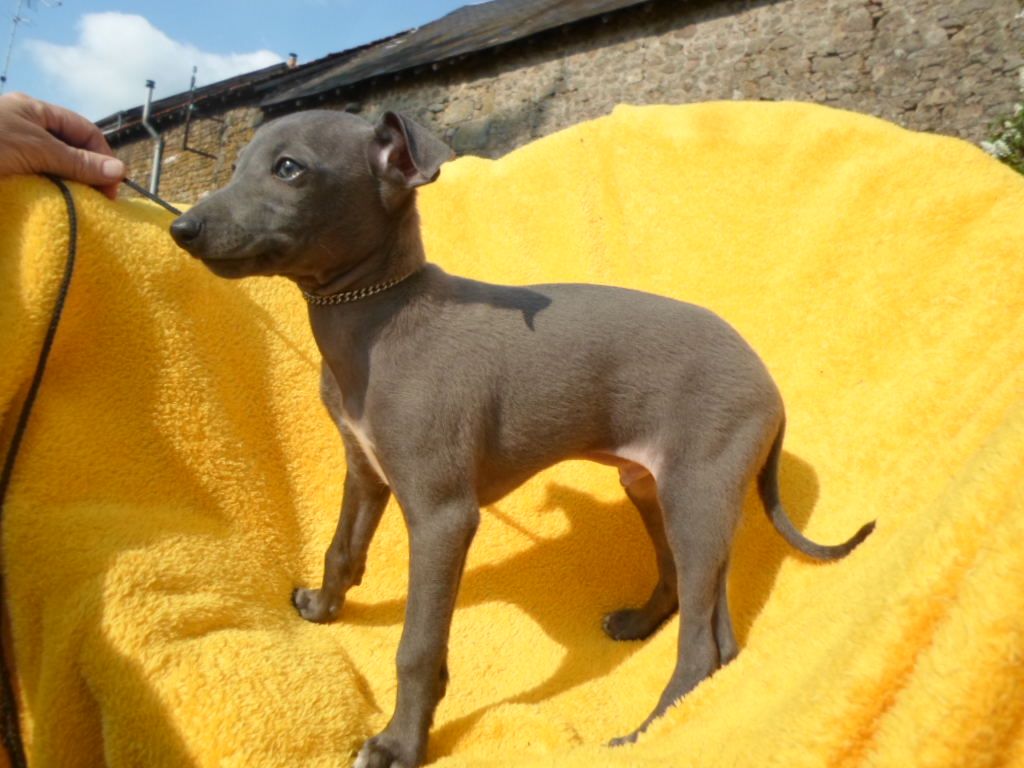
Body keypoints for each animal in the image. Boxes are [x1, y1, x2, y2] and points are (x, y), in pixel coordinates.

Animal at [170, 109, 874, 768]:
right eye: (238, 165)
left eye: (289, 169)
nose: (182, 229)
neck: (377, 314)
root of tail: (769, 382)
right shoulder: (365, 470)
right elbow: (342, 550)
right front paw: (321, 607)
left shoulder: (443, 515)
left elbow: (417, 647)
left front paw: (399, 744)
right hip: (650, 485)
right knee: (686, 590)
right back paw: (639, 623)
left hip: (698, 493)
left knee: (709, 644)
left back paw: (648, 733)